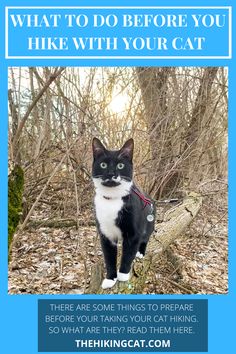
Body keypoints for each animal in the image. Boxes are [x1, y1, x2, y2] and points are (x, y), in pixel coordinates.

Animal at [91, 137, 156, 290]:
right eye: (103, 165)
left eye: (120, 165)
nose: (111, 174)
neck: (112, 199)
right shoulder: (105, 233)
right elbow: (109, 257)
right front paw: (110, 278)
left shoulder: (133, 233)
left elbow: (128, 254)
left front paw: (123, 275)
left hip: (149, 222)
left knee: (145, 238)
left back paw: (140, 253)